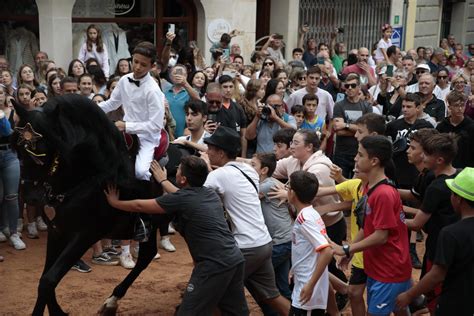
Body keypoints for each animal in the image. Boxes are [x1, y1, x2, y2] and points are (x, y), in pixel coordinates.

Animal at [12, 95, 184, 314]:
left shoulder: (85, 235)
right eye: (18, 149)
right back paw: (112, 300)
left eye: (42, 152)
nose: (30, 196)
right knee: (147, 255)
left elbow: (47, 280)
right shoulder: (57, 231)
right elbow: (45, 278)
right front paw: (57, 311)